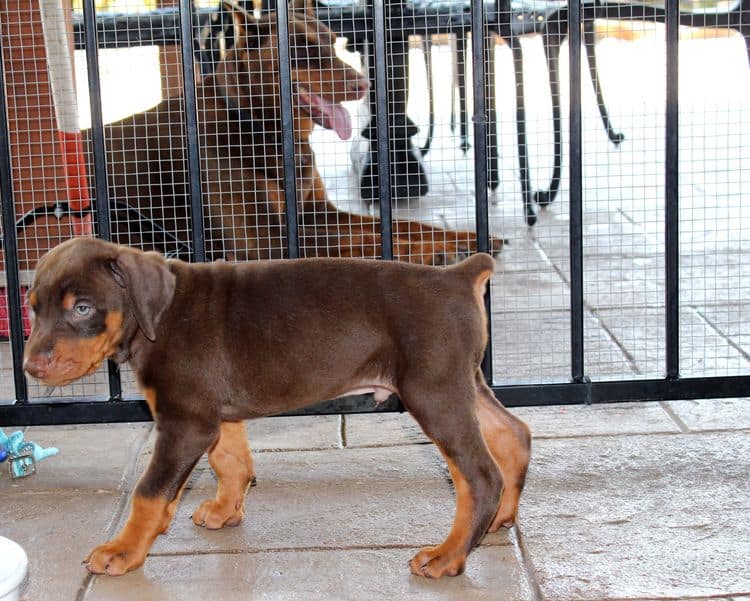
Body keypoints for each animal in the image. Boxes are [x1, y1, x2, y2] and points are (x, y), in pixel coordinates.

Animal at [22, 237, 528, 580]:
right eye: (33, 307)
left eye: (83, 308)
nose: (30, 366)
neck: (157, 316)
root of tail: (457, 274)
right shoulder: (215, 415)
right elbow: (230, 463)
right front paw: (225, 511)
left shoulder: (185, 422)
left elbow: (150, 491)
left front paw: (123, 550)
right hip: (461, 382)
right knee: (513, 433)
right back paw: (501, 518)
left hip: (433, 392)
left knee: (480, 475)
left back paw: (449, 556)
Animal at [95, 0, 506, 262]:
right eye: (303, 49)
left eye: (331, 41)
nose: (363, 85)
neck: (261, 127)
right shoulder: (266, 242)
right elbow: (362, 245)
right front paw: (437, 252)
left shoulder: (315, 212)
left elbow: (402, 224)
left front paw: (469, 238)